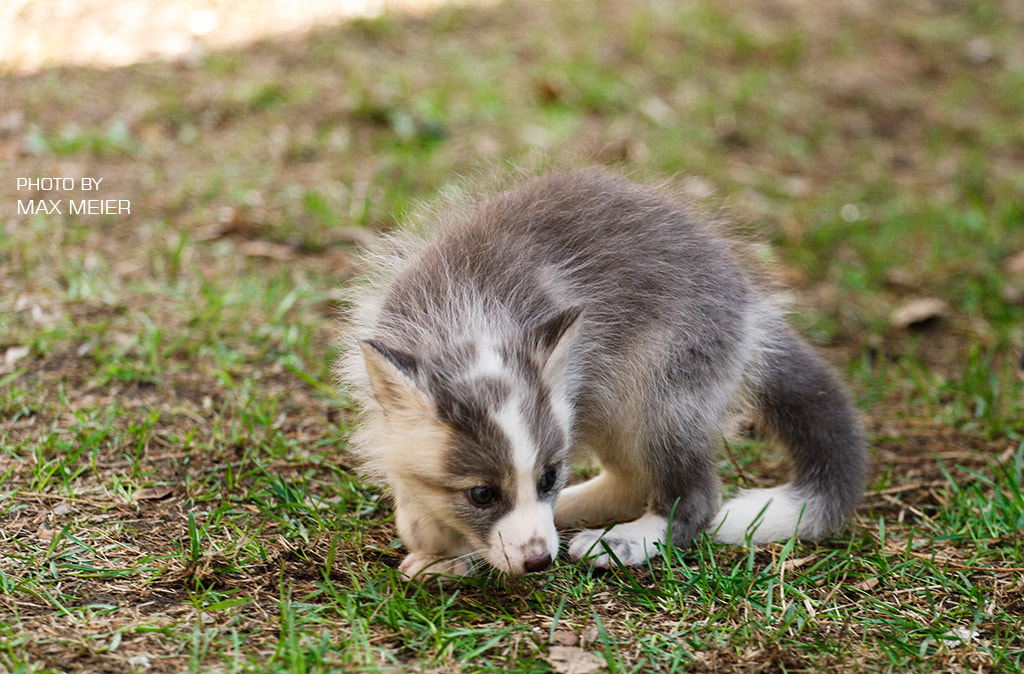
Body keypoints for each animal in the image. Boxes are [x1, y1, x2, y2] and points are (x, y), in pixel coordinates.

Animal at [338, 168, 867, 581]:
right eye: (482, 494)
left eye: (548, 476)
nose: (539, 561)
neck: (472, 319)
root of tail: (750, 306)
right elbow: (410, 481)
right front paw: (439, 543)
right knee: (630, 480)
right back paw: (576, 512)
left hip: (663, 393)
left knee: (697, 497)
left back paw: (628, 539)